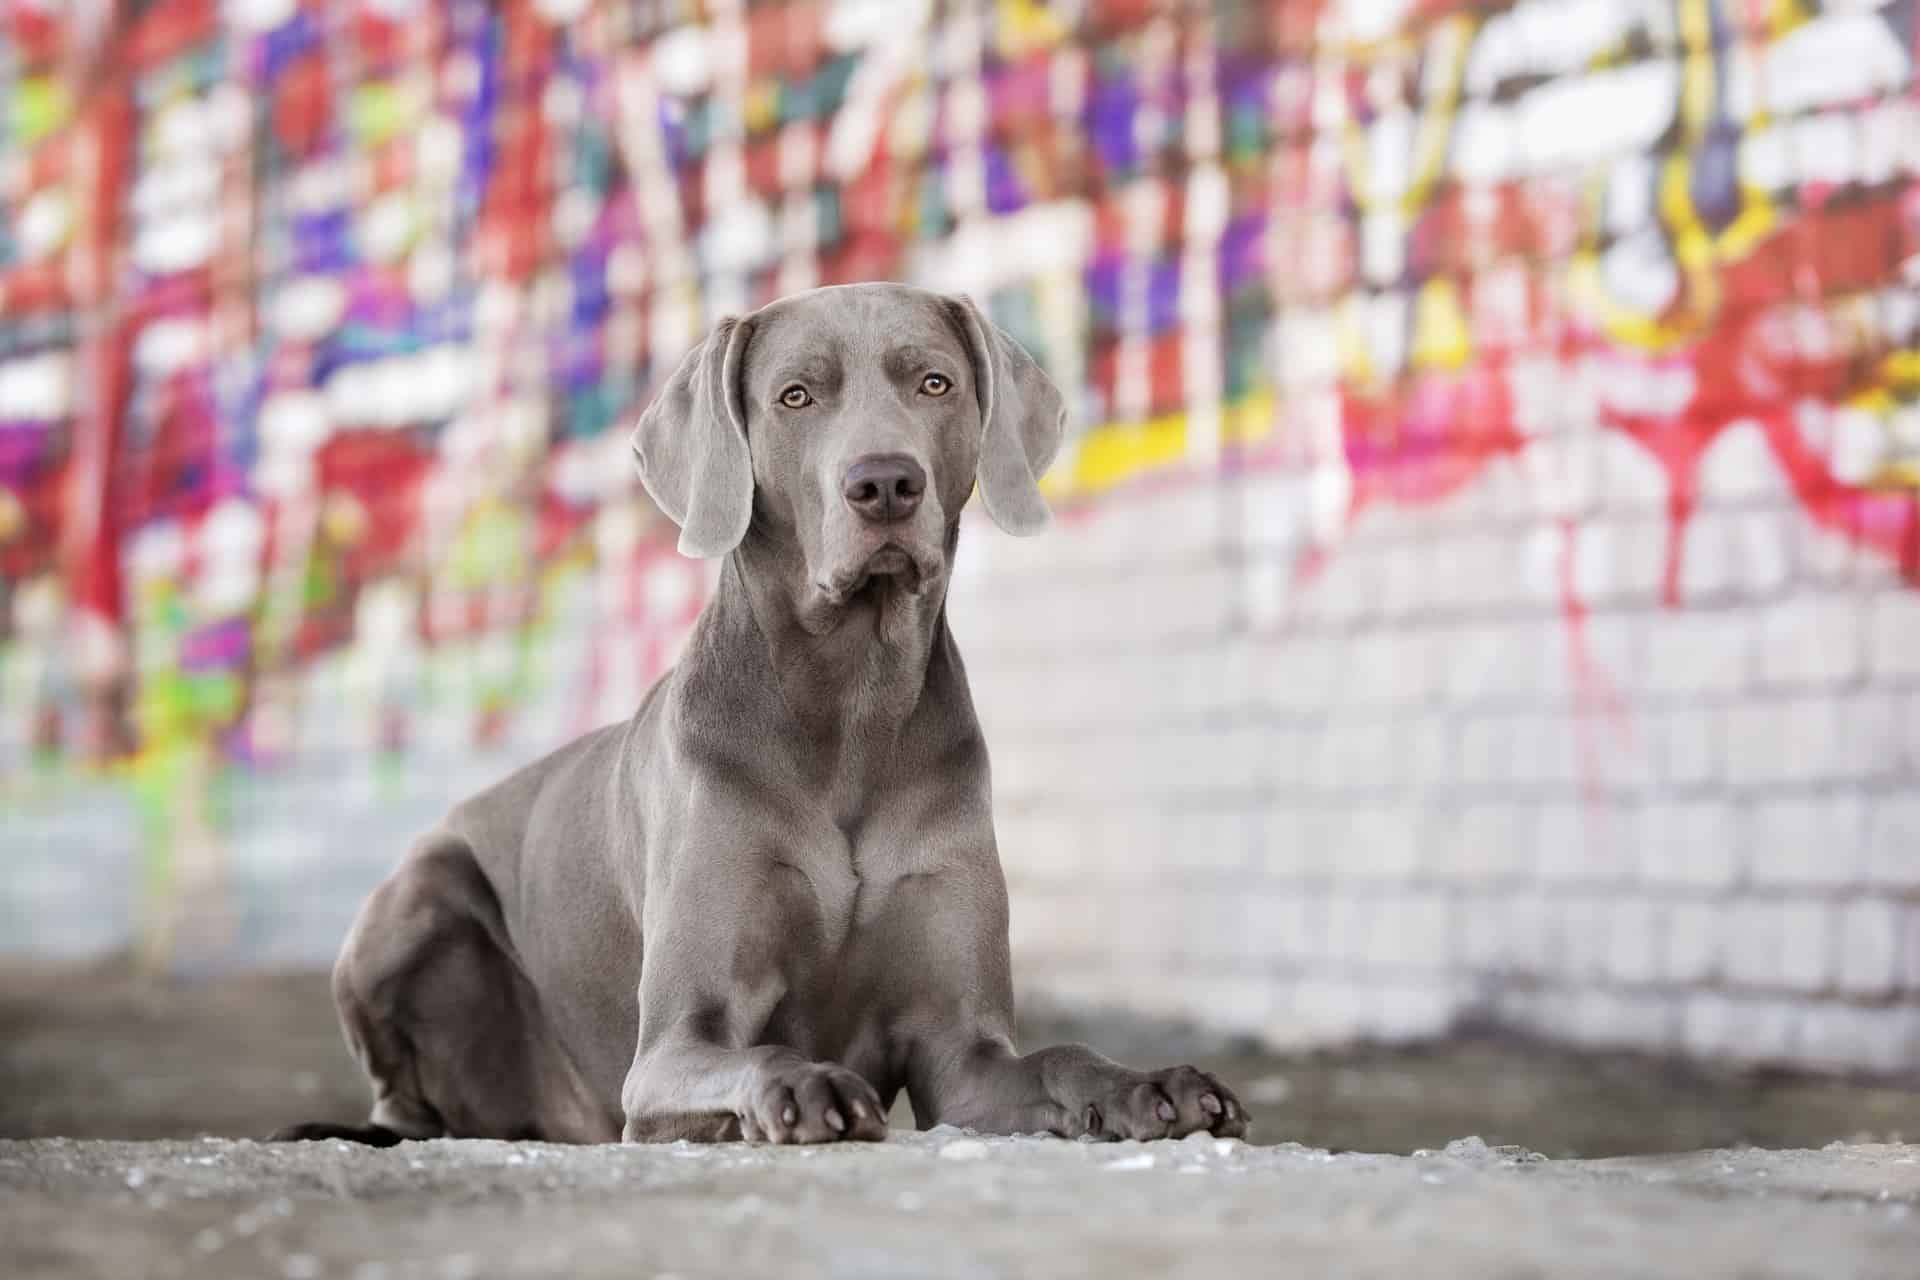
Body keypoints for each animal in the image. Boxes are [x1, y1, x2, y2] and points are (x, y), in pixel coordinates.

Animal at [278, 285, 1251, 1143]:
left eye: (934, 383)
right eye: (796, 396)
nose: (885, 483)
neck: (851, 702)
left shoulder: (961, 1052)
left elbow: (1059, 1058)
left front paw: (1154, 1088)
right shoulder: (672, 1047)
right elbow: (758, 1053)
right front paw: (804, 1088)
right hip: (416, 900)